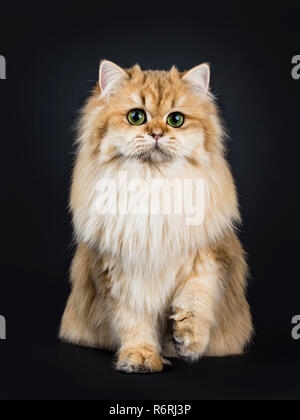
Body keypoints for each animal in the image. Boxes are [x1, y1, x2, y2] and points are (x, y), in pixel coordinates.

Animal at [59, 60, 253, 374]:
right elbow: (133, 322)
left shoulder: (208, 256)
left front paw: (187, 341)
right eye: (136, 117)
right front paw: (141, 358)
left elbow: (196, 300)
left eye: (175, 120)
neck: (153, 183)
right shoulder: (117, 271)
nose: (157, 133)